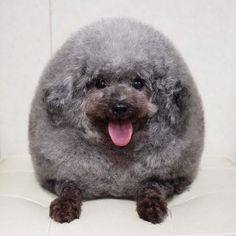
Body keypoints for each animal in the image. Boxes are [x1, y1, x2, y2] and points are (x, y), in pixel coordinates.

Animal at [28, 18, 204, 223]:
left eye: (138, 83)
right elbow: (69, 187)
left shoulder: (165, 179)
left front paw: (152, 207)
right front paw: (64, 206)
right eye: (100, 83)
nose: (120, 107)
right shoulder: (61, 176)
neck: (116, 150)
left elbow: (151, 187)